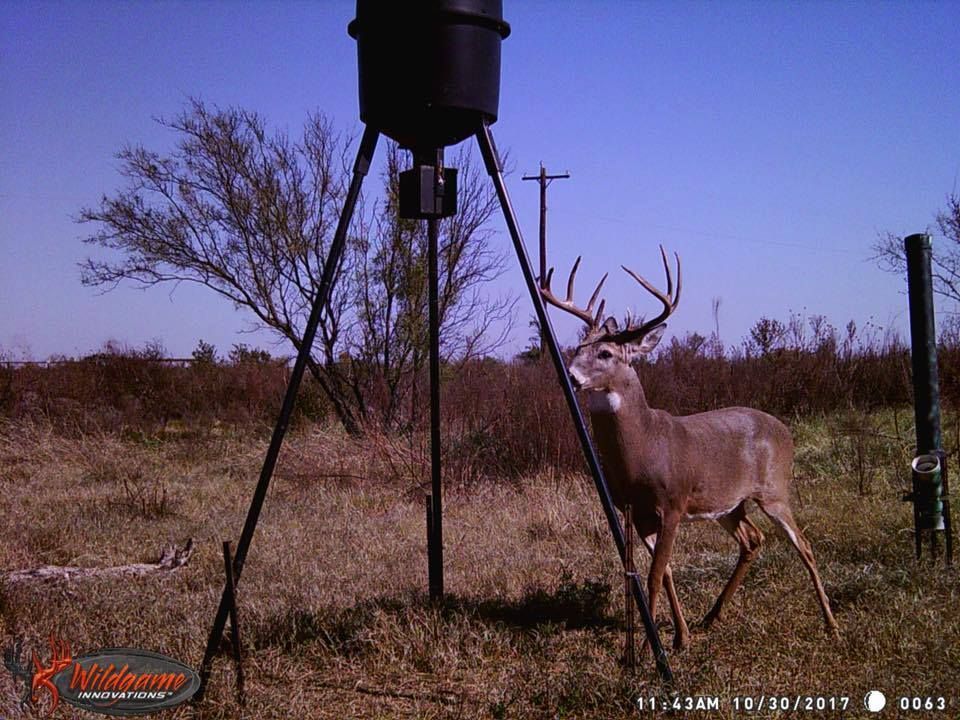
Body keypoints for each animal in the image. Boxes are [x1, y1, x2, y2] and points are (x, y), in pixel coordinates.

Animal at [540, 247, 838, 651]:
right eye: (577, 347)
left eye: (606, 353)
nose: (569, 375)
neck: (643, 450)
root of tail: (785, 429)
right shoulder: (637, 513)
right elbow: (664, 572)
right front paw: (681, 637)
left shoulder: (673, 503)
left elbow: (653, 575)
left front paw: (648, 647)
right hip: (728, 503)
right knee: (753, 539)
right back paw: (712, 617)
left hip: (774, 490)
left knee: (803, 544)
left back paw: (832, 625)